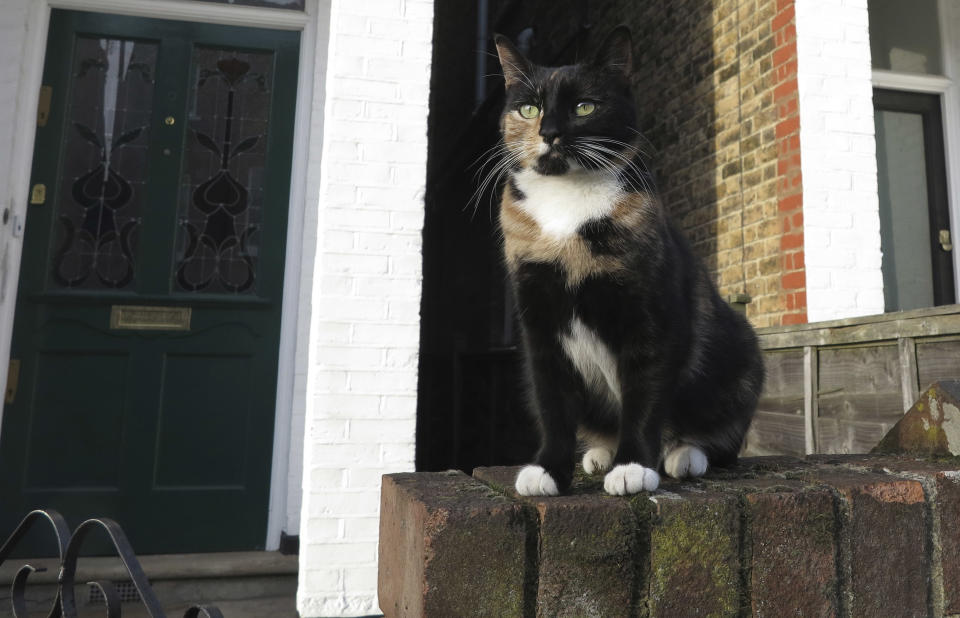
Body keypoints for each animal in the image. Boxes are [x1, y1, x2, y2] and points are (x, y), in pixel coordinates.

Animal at [496, 26, 764, 494]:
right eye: (529, 108)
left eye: (584, 106)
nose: (549, 132)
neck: (566, 212)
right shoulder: (539, 318)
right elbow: (552, 403)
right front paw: (548, 470)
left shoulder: (650, 313)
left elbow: (645, 394)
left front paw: (634, 467)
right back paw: (601, 453)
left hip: (743, 356)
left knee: (720, 438)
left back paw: (684, 455)